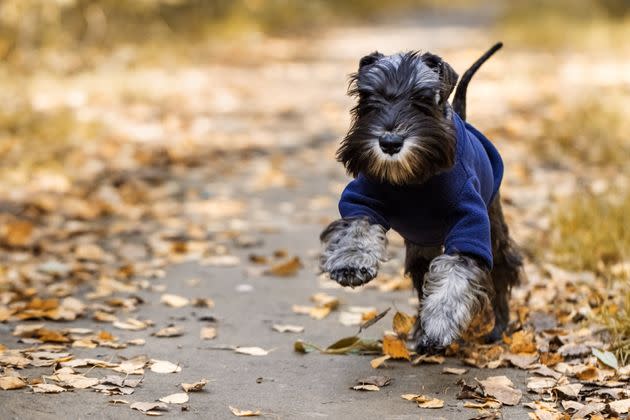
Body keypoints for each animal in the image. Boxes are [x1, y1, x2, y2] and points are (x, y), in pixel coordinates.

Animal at [320, 42, 524, 352]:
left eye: (423, 98)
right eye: (369, 96)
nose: (390, 143)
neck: (413, 181)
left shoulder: (470, 225)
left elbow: (455, 274)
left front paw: (440, 323)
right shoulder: (363, 198)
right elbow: (357, 226)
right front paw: (351, 262)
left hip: (494, 230)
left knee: (501, 273)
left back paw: (498, 327)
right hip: (421, 248)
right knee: (422, 282)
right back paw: (418, 331)